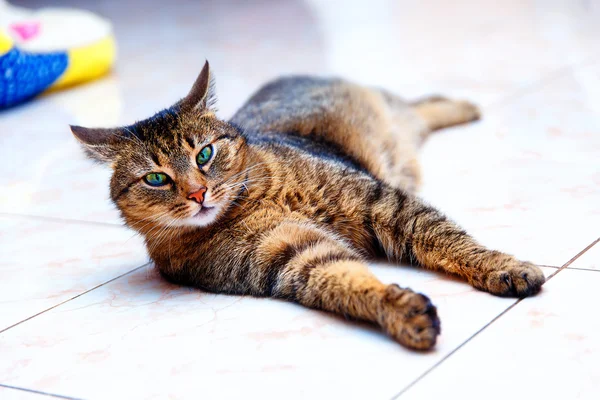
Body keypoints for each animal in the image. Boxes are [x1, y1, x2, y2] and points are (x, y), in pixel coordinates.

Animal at [70, 60, 544, 350]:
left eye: (204, 154)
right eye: (156, 178)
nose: (197, 194)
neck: (250, 205)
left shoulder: (381, 202)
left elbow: (450, 241)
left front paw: (503, 266)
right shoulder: (291, 254)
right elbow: (346, 280)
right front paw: (397, 309)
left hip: (390, 115)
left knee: (419, 104)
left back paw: (465, 104)